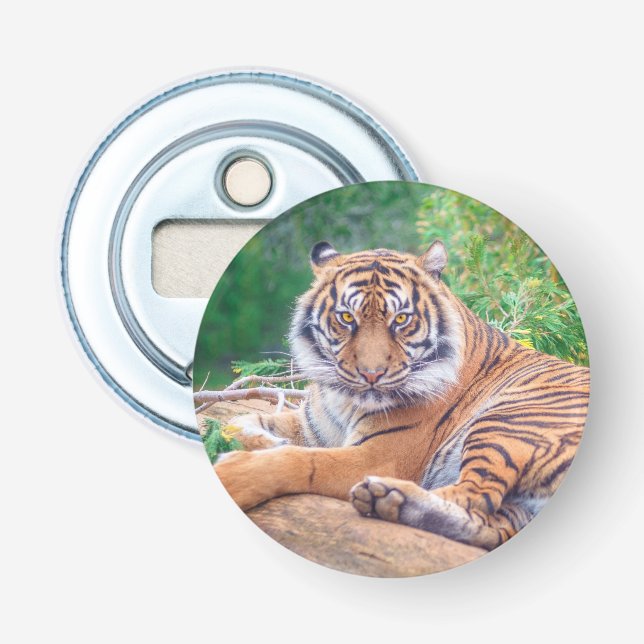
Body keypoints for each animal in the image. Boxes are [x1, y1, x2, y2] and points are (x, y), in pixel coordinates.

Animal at [212, 240, 590, 550]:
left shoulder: (377, 456)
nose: (371, 374)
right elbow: (244, 420)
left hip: (508, 422)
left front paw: (234, 473)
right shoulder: (310, 427)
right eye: (346, 317)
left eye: (401, 319)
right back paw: (390, 502)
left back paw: (390, 494)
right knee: (491, 522)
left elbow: (302, 461)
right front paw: (263, 440)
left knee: (475, 495)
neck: (344, 399)